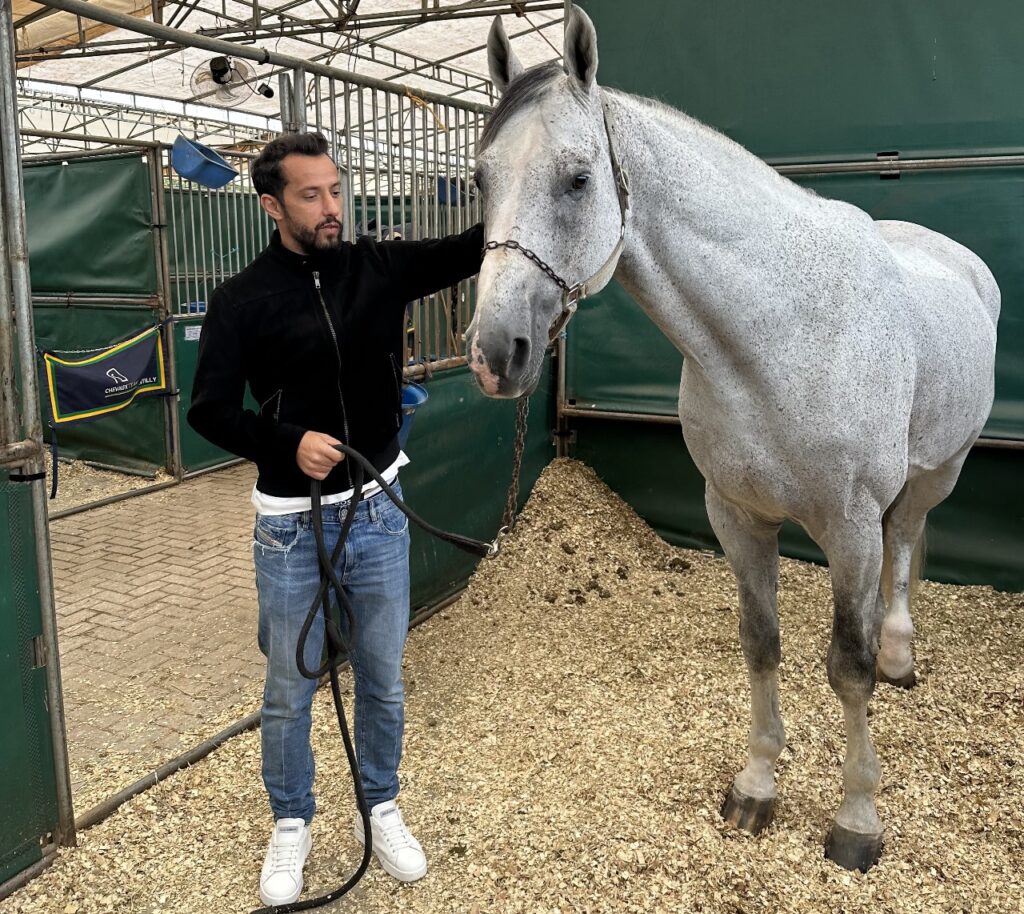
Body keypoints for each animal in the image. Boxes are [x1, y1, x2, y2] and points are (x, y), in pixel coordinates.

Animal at [466, 5, 999, 872]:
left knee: (906, 542)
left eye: (578, 178)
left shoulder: (849, 527)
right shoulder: (736, 517)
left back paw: (899, 654)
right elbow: (761, 645)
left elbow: (846, 669)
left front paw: (856, 821)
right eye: (481, 179)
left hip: (939, 470)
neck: (779, 331)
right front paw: (755, 787)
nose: (492, 354)